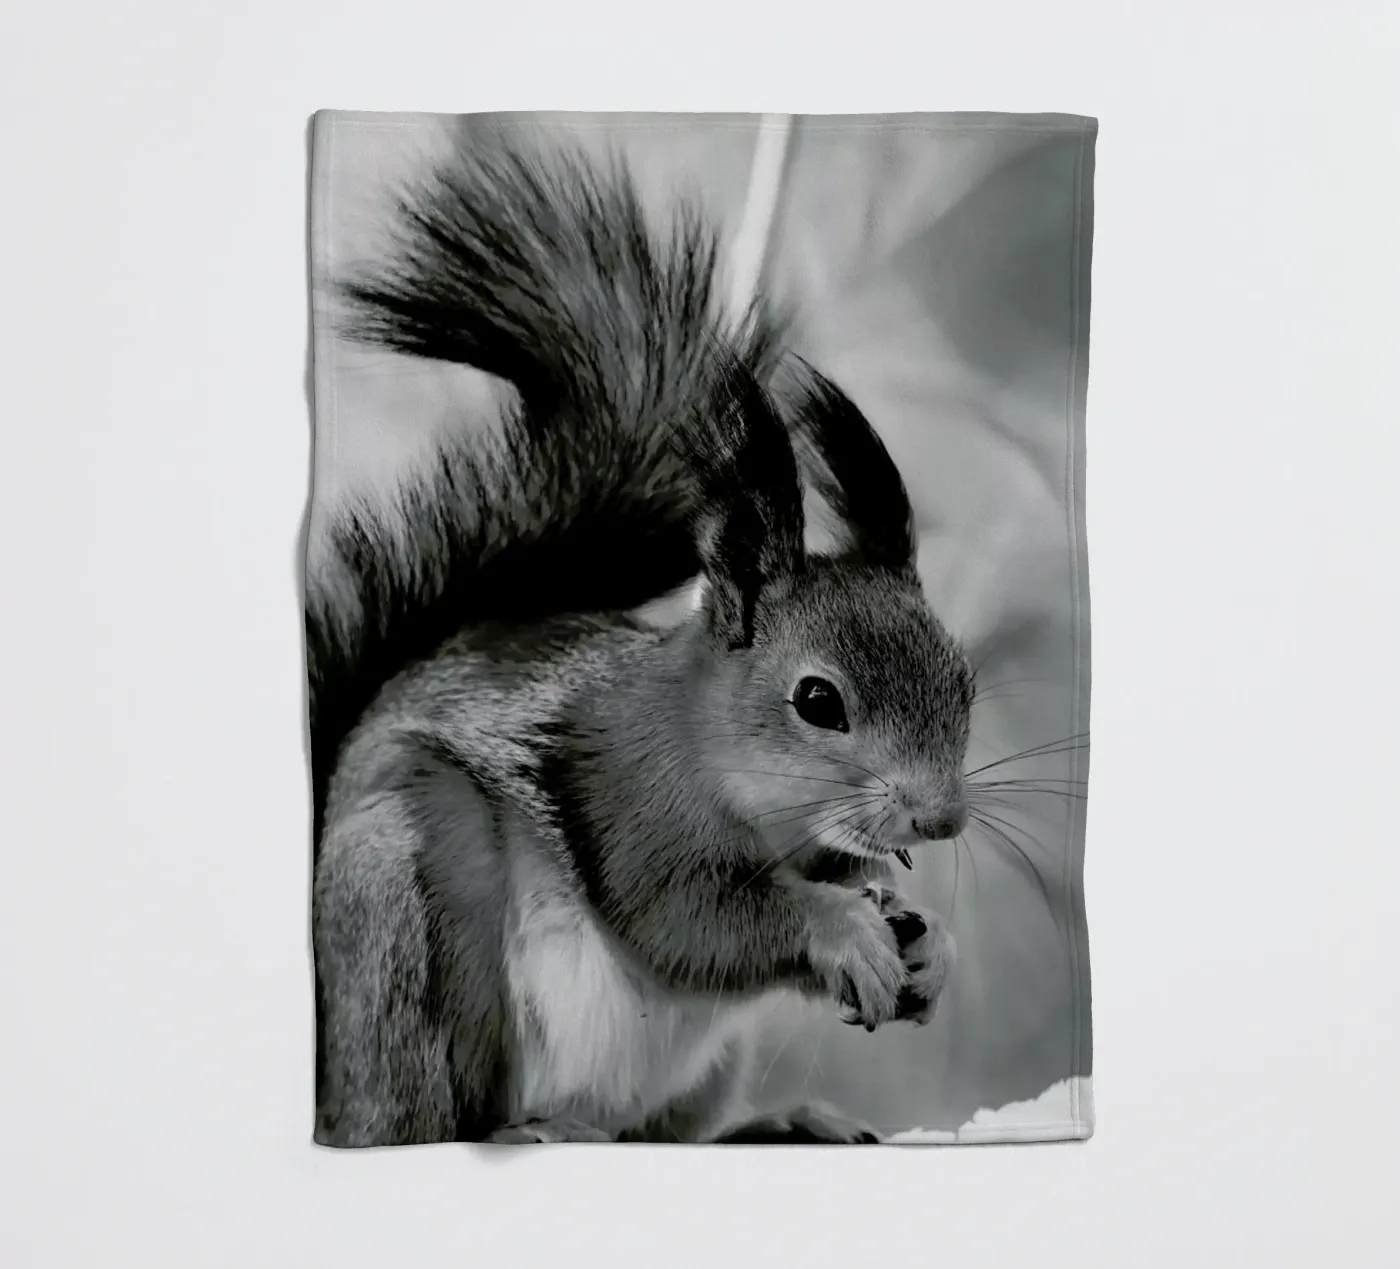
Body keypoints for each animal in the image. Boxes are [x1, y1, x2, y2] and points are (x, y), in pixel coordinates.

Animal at [306, 131, 975, 1145]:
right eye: (818, 700)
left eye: (963, 679)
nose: (938, 819)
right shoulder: (631, 795)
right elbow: (689, 919)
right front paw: (841, 929)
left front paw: (926, 942)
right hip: (405, 908)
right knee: (429, 1117)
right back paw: (529, 1129)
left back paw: (781, 1126)